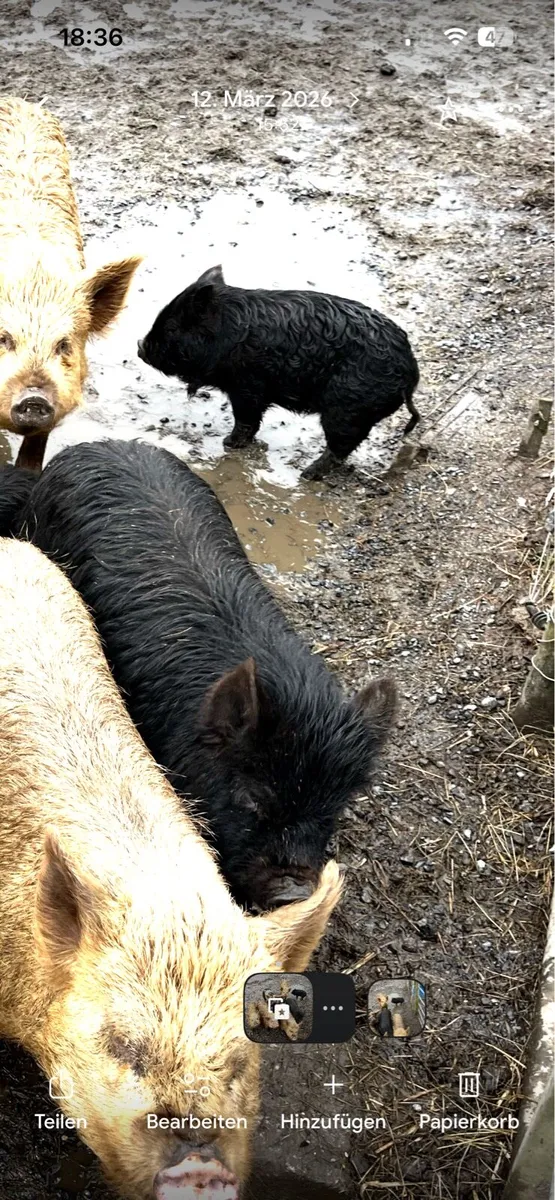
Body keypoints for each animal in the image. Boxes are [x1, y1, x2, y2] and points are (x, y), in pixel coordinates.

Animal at [137, 265, 420, 480]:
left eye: (172, 327)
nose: (140, 346)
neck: (224, 334)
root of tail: (410, 372)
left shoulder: (246, 386)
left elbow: (246, 419)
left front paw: (228, 443)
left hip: (347, 409)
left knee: (342, 445)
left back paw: (307, 474)